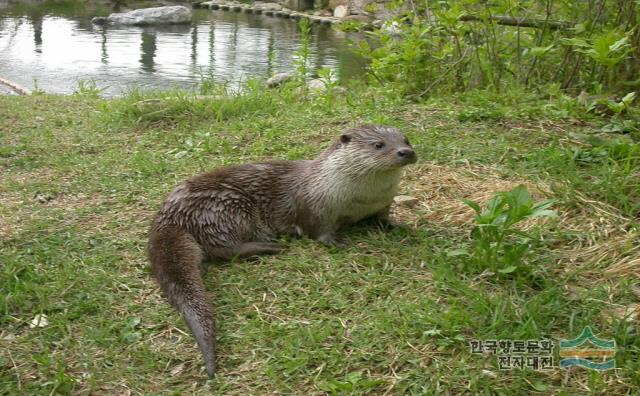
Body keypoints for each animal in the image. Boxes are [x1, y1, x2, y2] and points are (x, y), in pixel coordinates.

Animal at [148, 124, 418, 378]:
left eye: (406, 139)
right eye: (378, 145)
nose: (406, 152)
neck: (359, 199)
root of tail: (170, 213)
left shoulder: (382, 203)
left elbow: (383, 219)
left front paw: (400, 226)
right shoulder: (316, 207)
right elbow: (318, 230)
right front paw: (335, 241)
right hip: (226, 207)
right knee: (224, 248)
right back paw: (271, 246)